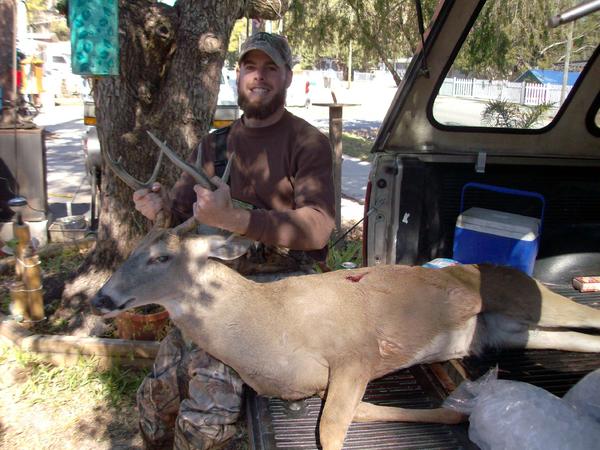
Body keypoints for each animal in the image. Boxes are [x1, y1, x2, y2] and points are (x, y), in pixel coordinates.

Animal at [96, 134, 600, 450]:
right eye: (132, 250)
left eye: (162, 256)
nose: (100, 298)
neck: (268, 328)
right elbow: (363, 416)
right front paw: (458, 414)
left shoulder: (356, 354)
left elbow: (330, 433)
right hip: (509, 330)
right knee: (578, 340)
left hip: (527, 298)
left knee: (585, 316)